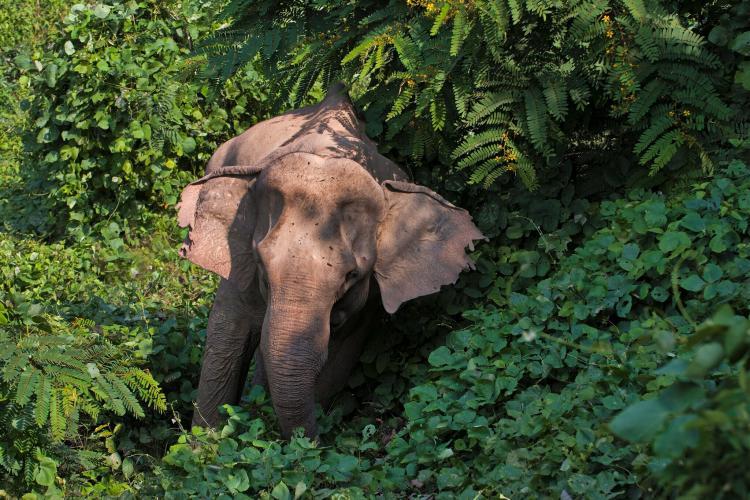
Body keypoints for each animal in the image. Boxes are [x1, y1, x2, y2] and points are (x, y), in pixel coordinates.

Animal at [177, 83, 484, 438]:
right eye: (261, 266)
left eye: (352, 275)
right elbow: (228, 334)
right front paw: (203, 444)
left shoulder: (369, 300)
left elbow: (340, 354)